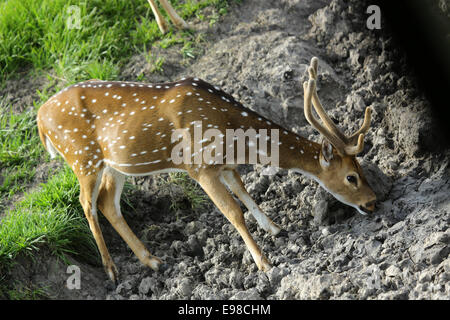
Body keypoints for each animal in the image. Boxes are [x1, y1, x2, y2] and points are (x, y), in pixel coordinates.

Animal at [37, 57, 376, 280]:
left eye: (362, 168)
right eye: (351, 177)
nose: (373, 202)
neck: (232, 132)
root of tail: (39, 118)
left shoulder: (224, 164)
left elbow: (245, 192)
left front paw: (276, 228)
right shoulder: (199, 167)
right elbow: (233, 212)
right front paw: (265, 263)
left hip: (115, 165)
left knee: (108, 203)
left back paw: (153, 262)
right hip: (82, 157)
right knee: (87, 203)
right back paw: (112, 270)